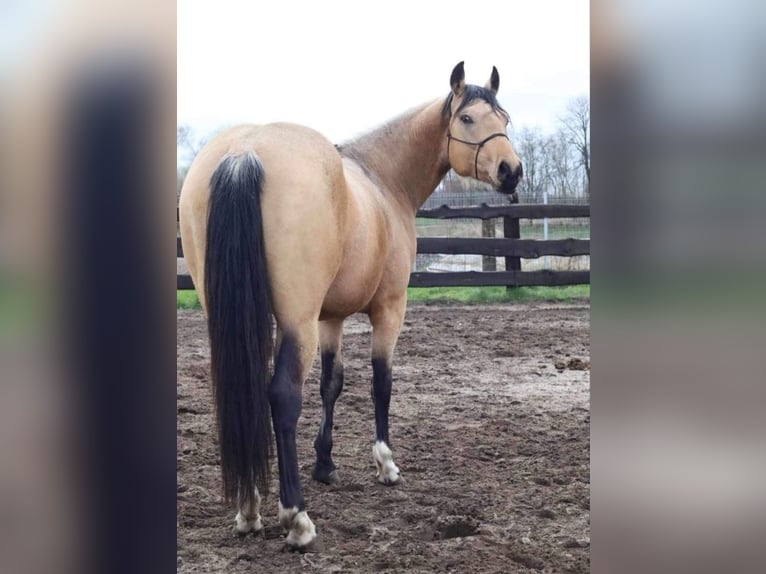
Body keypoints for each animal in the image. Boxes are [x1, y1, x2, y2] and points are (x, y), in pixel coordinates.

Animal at [178, 60, 524, 552]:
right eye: (468, 118)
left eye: (505, 119)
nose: (512, 171)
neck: (382, 179)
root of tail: (244, 152)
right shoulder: (389, 309)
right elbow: (381, 383)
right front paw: (385, 463)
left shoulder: (332, 318)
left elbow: (332, 384)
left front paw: (325, 464)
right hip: (296, 320)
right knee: (282, 397)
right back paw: (296, 518)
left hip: (231, 319)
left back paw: (249, 510)